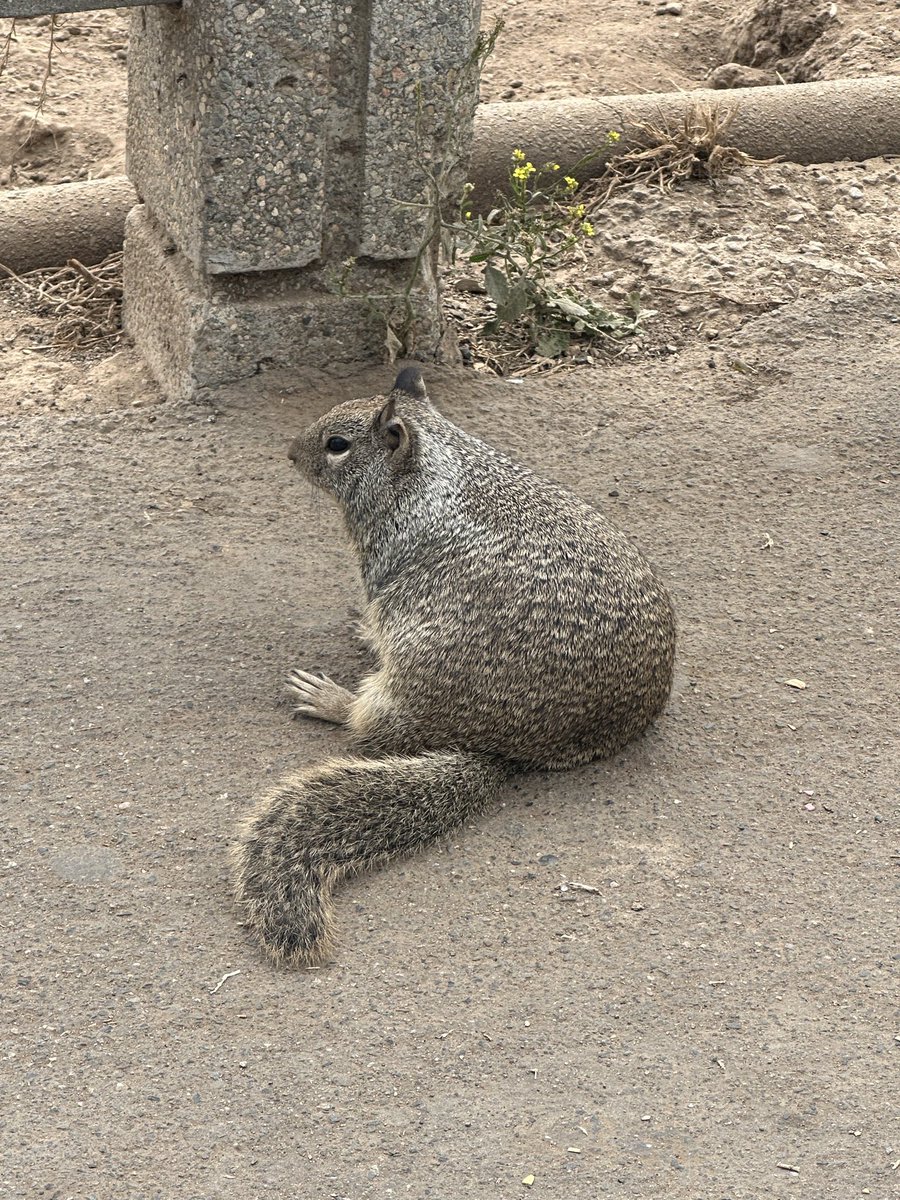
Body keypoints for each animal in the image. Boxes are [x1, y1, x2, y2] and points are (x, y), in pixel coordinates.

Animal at [233, 366, 675, 967]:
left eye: (337, 445)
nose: (289, 453)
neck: (434, 468)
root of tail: (502, 751)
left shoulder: (380, 559)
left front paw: (362, 632)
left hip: (403, 688)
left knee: (368, 725)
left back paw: (331, 699)